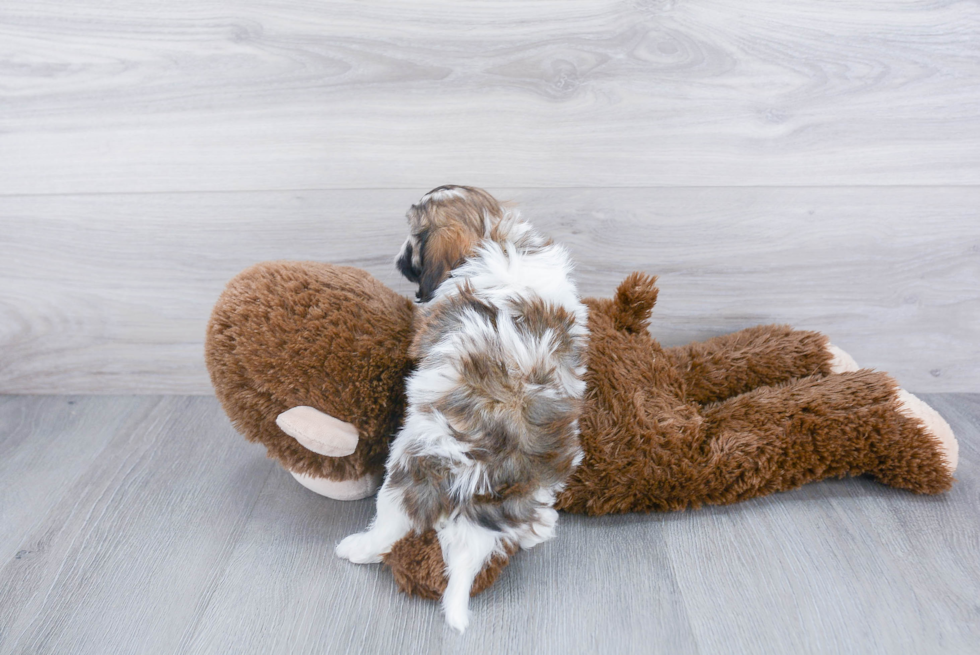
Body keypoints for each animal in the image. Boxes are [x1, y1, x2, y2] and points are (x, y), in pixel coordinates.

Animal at [334, 186, 588, 636]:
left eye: (413, 240)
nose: (397, 260)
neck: (495, 235)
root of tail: (477, 484)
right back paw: (538, 530)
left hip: (404, 475)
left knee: (388, 528)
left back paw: (357, 548)